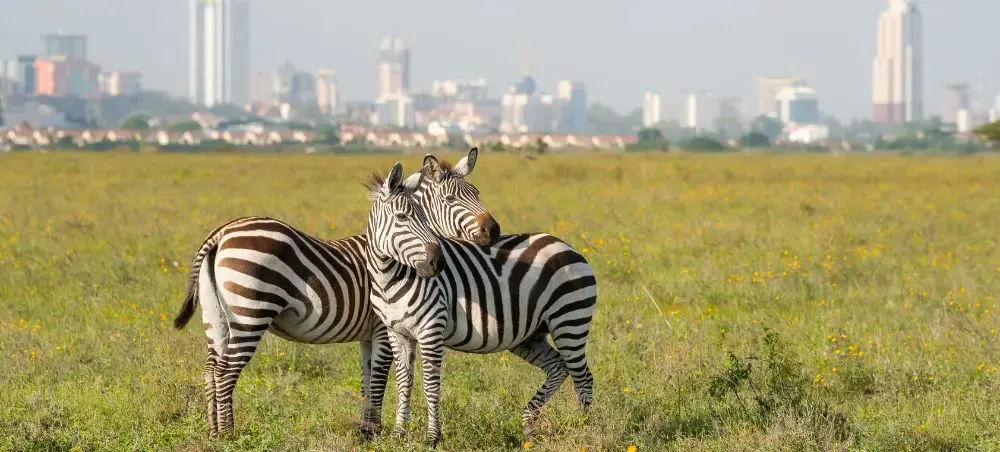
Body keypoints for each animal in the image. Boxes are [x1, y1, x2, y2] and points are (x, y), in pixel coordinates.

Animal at [171, 148, 499, 438]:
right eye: (450, 199)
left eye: (477, 192)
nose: (493, 231)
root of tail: (222, 233)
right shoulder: (383, 328)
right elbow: (380, 379)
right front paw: (374, 431)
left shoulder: (368, 334)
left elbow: (367, 379)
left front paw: (366, 430)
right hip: (251, 313)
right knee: (226, 371)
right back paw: (229, 434)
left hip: (216, 317)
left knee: (211, 369)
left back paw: (213, 431)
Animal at [364, 162, 598, 447]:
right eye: (401, 217)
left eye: (424, 219)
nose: (437, 264)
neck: (390, 279)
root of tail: (566, 246)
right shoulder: (397, 333)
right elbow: (403, 382)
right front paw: (399, 435)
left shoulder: (431, 330)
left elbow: (430, 384)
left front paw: (433, 438)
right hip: (530, 335)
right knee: (558, 367)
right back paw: (529, 426)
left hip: (570, 321)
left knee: (583, 377)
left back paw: (585, 429)